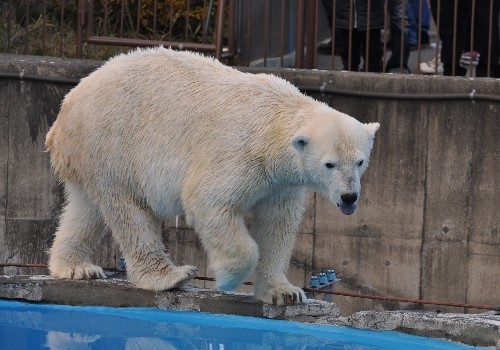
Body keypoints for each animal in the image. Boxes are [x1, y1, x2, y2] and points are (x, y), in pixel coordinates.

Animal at [46, 46, 378, 304]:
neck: (274, 124)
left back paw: (76, 267)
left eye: (360, 162)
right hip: (113, 143)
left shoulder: (282, 182)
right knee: (129, 209)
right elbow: (208, 201)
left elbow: (277, 224)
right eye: (330, 164)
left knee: (86, 208)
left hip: (90, 155)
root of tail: (67, 105)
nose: (349, 196)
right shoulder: (239, 152)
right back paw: (171, 276)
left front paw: (285, 292)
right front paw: (229, 277)